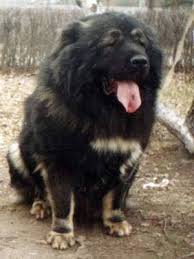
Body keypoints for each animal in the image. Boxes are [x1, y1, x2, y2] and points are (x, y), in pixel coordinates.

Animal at [6, 11, 162, 250]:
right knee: (38, 188)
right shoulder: (59, 160)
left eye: (141, 43)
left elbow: (117, 196)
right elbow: (62, 201)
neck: (101, 109)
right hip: (17, 151)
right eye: (110, 43)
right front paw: (62, 233)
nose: (141, 61)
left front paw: (115, 221)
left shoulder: (129, 157)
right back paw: (41, 205)